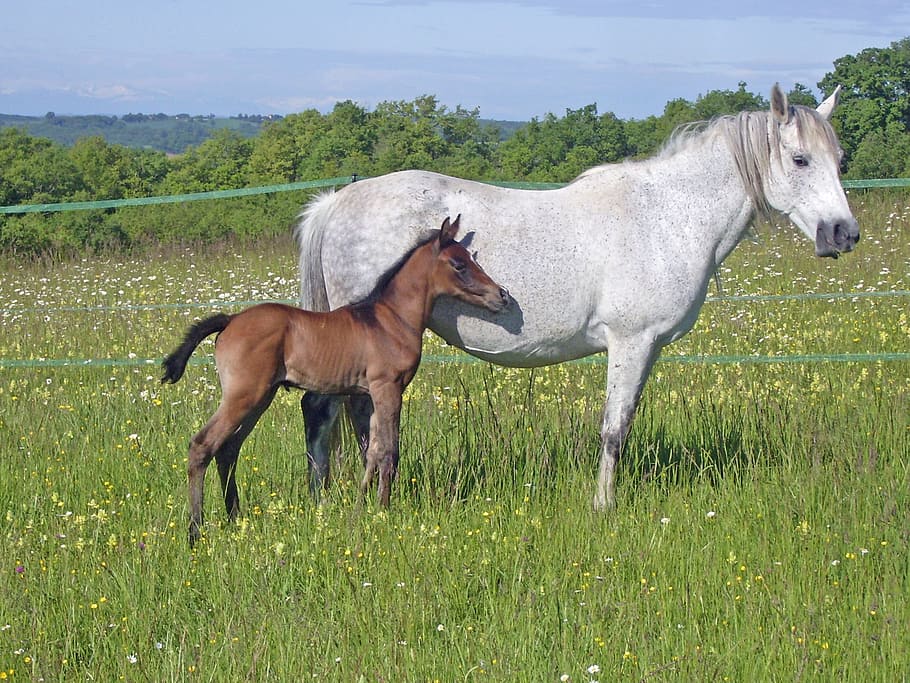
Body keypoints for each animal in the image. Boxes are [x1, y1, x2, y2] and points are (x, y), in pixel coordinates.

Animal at [162, 215, 510, 546]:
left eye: (472, 258)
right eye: (459, 265)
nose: (502, 296)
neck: (391, 319)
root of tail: (230, 320)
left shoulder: (370, 393)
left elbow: (373, 449)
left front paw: (361, 505)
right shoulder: (388, 388)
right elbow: (388, 450)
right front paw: (383, 510)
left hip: (260, 398)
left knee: (228, 449)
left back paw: (235, 517)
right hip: (244, 395)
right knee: (202, 445)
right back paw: (195, 532)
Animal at [295, 84, 860, 510]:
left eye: (840, 160)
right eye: (800, 159)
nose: (843, 233)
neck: (666, 216)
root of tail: (335, 203)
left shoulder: (648, 349)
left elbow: (623, 424)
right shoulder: (631, 342)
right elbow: (614, 429)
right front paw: (603, 505)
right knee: (346, 414)